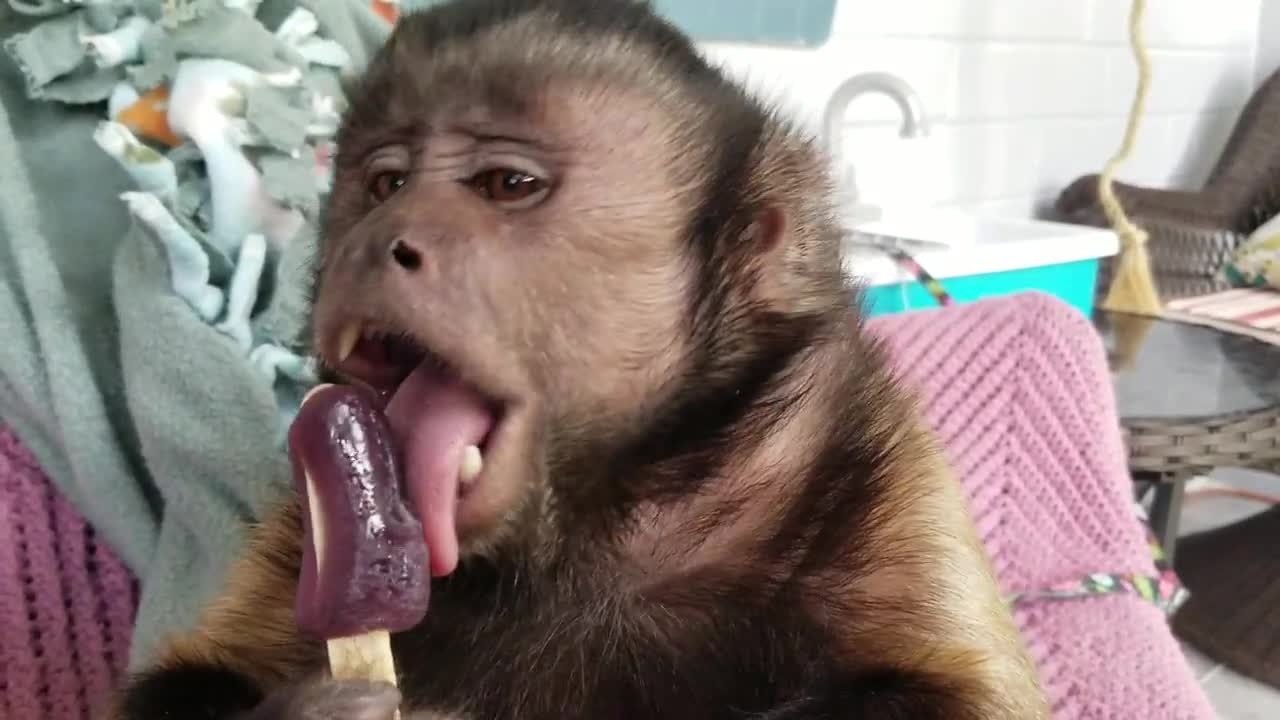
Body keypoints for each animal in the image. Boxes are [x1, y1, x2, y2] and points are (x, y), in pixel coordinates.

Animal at [110, 1, 1049, 717]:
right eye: (384, 186)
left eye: (506, 185)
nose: (374, 241)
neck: (586, 531)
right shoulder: (299, 533)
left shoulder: (877, 467)